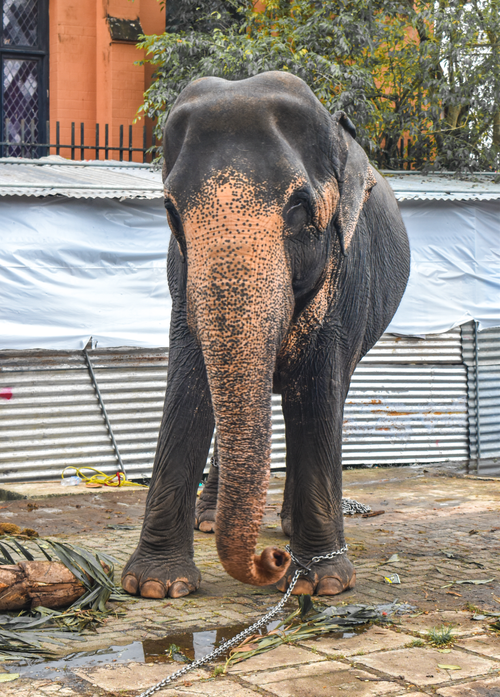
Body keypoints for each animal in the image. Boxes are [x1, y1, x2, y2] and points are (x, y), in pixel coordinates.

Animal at [121, 71, 410, 600]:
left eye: (299, 208)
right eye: (170, 210)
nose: (269, 560)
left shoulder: (348, 271)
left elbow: (316, 387)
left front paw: (320, 584)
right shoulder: (182, 273)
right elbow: (190, 379)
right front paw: (155, 586)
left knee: (329, 397)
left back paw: (291, 530)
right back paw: (210, 522)